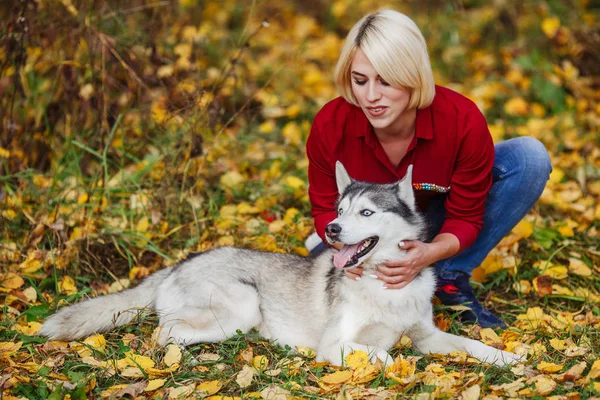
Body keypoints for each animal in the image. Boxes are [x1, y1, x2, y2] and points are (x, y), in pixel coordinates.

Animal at [39, 162, 524, 366]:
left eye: (366, 212)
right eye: (340, 209)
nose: (331, 228)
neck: (383, 287)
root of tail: (182, 261)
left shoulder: (429, 335)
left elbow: (472, 345)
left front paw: (509, 358)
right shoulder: (338, 344)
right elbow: (382, 354)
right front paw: (401, 364)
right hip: (241, 306)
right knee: (164, 331)